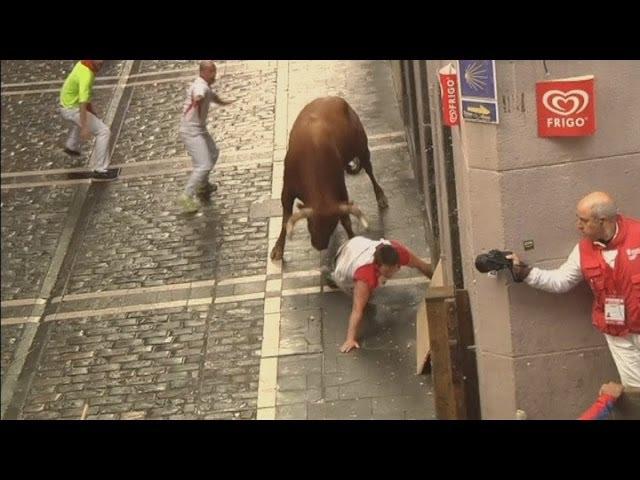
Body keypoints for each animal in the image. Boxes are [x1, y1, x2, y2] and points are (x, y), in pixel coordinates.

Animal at [268, 97, 388, 260]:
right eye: (311, 223)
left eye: (332, 223)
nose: (320, 246)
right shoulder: (287, 192)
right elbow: (285, 220)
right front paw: (278, 249)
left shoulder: (340, 188)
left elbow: (346, 220)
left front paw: (352, 240)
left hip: (362, 148)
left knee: (370, 171)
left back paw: (381, 197)